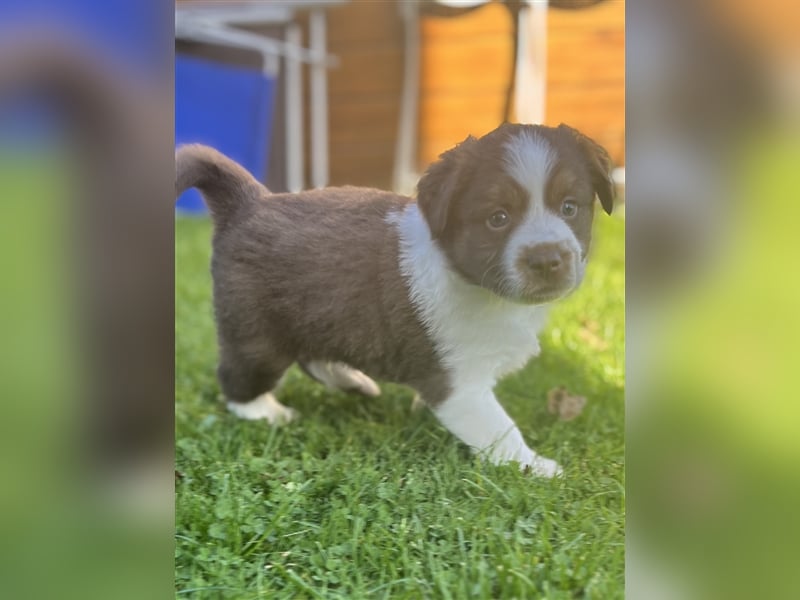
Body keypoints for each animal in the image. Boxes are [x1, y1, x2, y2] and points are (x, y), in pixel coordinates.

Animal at [175, 123, 612, 478]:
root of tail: (249, 201)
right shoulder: (460, 385)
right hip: (257, 334)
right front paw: (537, 466)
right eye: (498, 218)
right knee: (238, 378)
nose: (548, 259)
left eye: (570, 207)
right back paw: (267, 412)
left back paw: (353, 381)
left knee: (314, 356)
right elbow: (501, 429)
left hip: (321, 314)